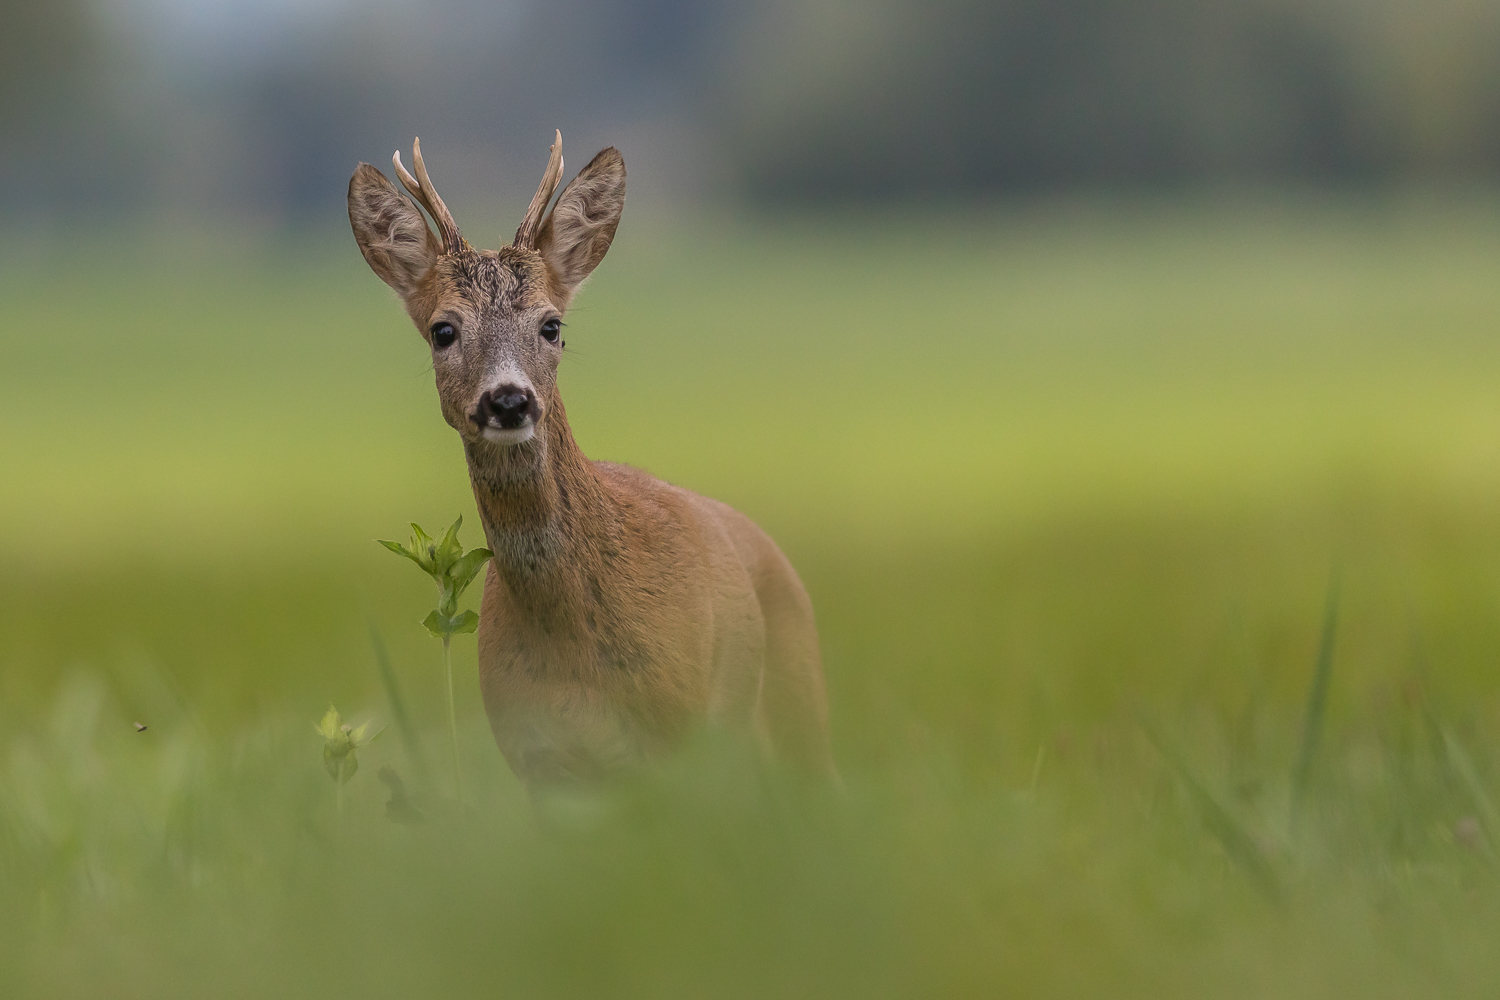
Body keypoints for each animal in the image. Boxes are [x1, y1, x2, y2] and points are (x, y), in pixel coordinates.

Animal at [349, 132, 840, 791]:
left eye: (551, 325)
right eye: (443, 330)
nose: (509, 400)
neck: (575, 658)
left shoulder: (677, 739)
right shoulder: (535, 759)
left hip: (798, 711)